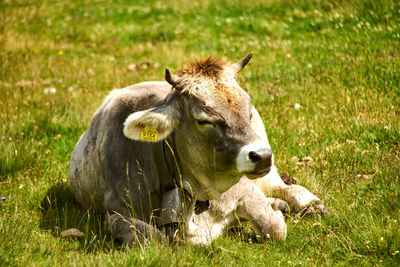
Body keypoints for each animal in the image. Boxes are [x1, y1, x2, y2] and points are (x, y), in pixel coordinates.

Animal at [69, 52, 324, 247]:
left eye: (249, 110)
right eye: (204, 120)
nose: (261, 156)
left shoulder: (245, 189)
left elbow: (273, 229)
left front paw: (277, 213)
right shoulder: (116, 214)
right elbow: (152, 239)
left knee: (283, 186)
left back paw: (307, 203)